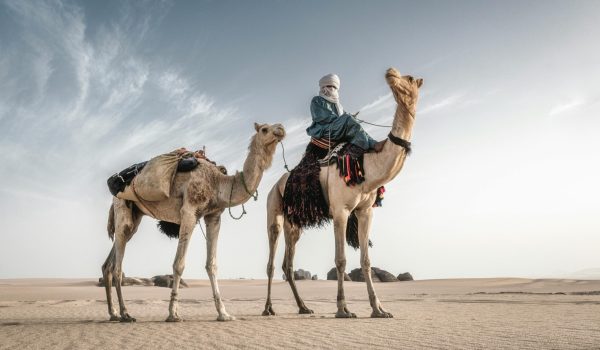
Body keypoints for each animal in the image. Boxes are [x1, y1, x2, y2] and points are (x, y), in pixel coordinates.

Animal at [102, 123, 286, 322]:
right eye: (265, 129)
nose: (281, 129)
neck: (218, 183)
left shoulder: (213, 216)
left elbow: (212, 265)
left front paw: (224, 313)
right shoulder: (189, 212)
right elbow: (179, 264)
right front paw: (173, 314)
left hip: (135, 216)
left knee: (109, 264)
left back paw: (113, 313)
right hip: (122, 208)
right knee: (118, 265)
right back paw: (125, 313)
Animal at [262, 67, 422, 318]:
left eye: (409, 78)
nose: (390, 72)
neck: (368, 164)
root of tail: (276, 184)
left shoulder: (365, 211)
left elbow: (366, 260)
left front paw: (379, 309)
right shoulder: (340, 211)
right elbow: (341, 260)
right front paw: (343, 309)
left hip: (294, 222)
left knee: (287, 264)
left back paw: (303, 307)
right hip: (273, 208)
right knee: (271, 258)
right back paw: (268, 308)